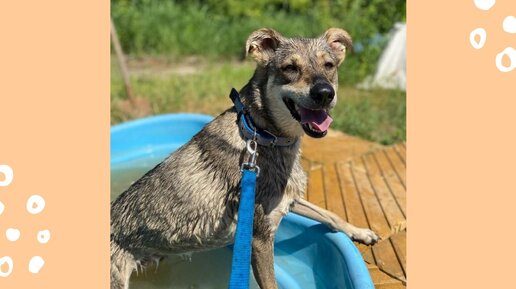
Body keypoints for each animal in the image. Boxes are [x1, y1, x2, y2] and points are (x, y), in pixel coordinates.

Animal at [111, 27, 378, 288]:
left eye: (329, 65)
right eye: (290, 68)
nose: (324, 93)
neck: (262, 136)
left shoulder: (288, 200)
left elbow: (330, 215)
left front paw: (359, 231)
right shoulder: (259, 239)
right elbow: (271, 284)